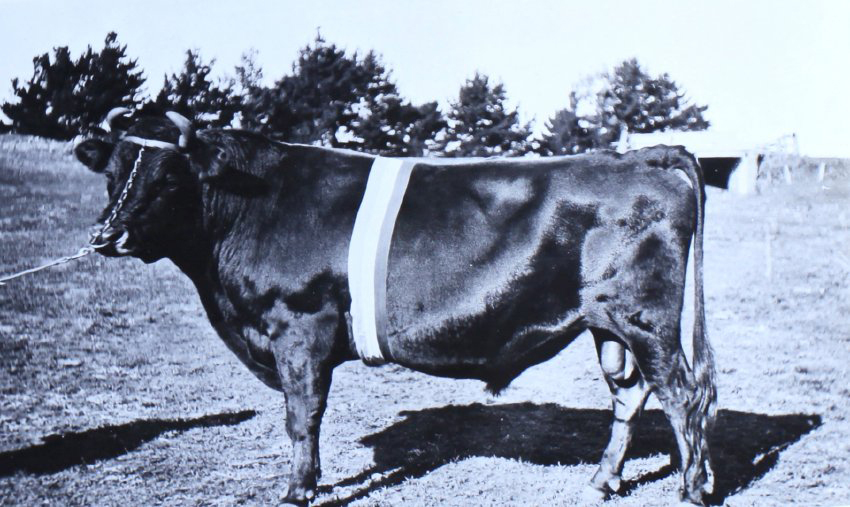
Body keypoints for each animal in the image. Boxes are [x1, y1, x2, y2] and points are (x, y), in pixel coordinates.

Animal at [73, 108, 717, 505]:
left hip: (646, 320)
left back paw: (690, 489)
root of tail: (643, 155)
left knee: (683, 397)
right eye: (112, 171)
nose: (107, 236)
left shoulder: (298, 326)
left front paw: (298, 490)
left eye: (169, 177)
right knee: (630, 396)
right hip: (607, 325)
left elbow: (302, 414)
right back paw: (602, 482)